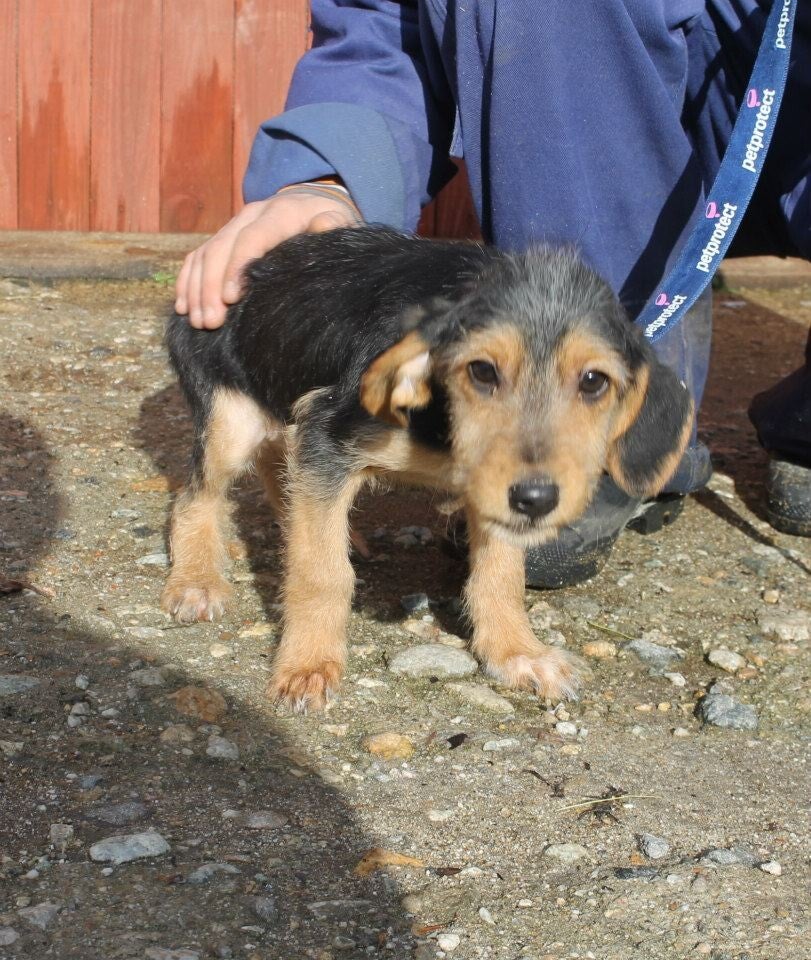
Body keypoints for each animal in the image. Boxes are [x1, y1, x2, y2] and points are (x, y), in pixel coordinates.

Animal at [161, 226, 693, 711]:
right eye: (482, 371)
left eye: (593, 381)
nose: (537, 500)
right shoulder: (326, 437)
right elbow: (322, 571)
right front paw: (308, 665)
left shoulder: (492, 490)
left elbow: (501, 575)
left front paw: (517, 652)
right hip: (232, 423)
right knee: (195, 497)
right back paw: (197, 582)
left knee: (278, 474)